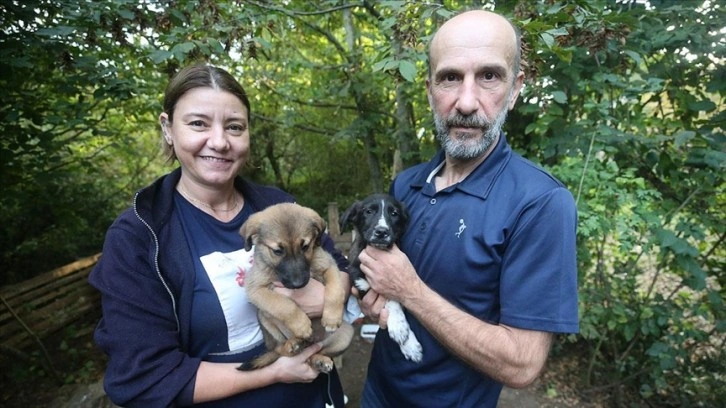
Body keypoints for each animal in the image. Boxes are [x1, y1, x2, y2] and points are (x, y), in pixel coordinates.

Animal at [239, 202, 352, 372]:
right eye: (277, 251)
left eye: (305, 246)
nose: (298, 284)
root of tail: (309, 342)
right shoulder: (255, 289)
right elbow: (284, 305)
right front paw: (301, 325)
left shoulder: (329, 265)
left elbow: (335, 291)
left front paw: (331, 318)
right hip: (265, 318)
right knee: (279, 349)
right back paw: (292, 344)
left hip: (345, 334)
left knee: (314, 352)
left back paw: (319, 360)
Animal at [342, 193, 426, 362]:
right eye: (368, 211)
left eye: (394, 213)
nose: (382, 232)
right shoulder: (361, 285)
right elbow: (388, 301)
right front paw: (405, 337)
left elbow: (393, 299)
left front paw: (405, 337)